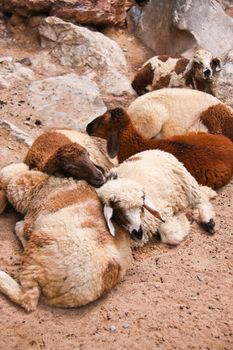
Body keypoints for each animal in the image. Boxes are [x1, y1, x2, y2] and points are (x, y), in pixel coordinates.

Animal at [0, 163, 160, 310]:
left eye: (141, 207)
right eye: (120, 209)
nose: (138, 233)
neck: (45, 187)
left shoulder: (31, 220)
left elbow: (20, 227)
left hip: (38, 252)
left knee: (28, 298)